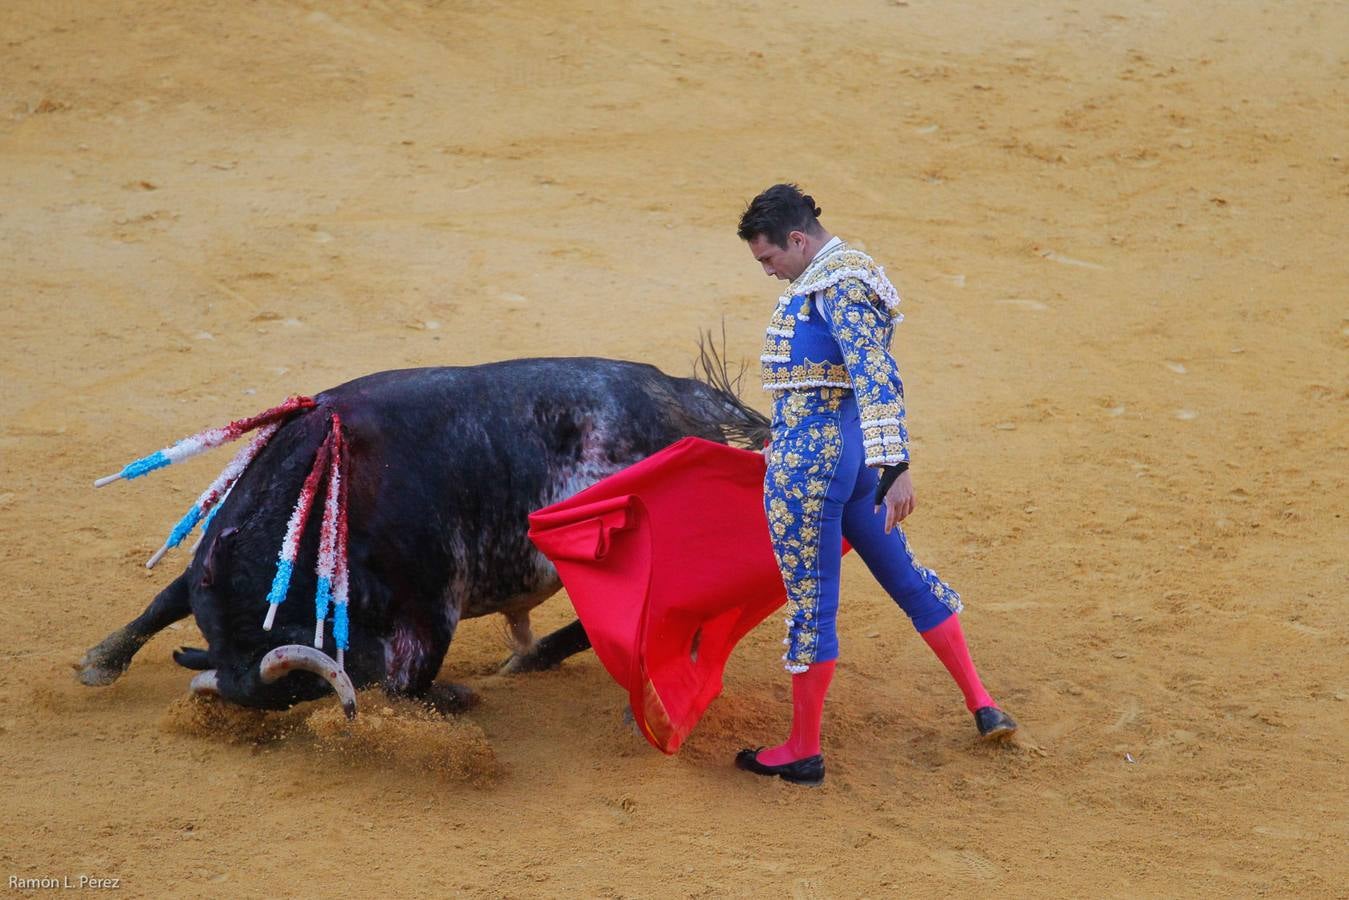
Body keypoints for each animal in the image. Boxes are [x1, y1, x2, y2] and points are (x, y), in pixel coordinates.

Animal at [76, 350, 771, 717]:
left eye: (297, 693)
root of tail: (686, 398)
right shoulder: (207, 566)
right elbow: (162, 600)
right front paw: (99, 663)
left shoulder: (433, 602)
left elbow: (408, 681)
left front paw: (455, 696)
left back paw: (541, 665)